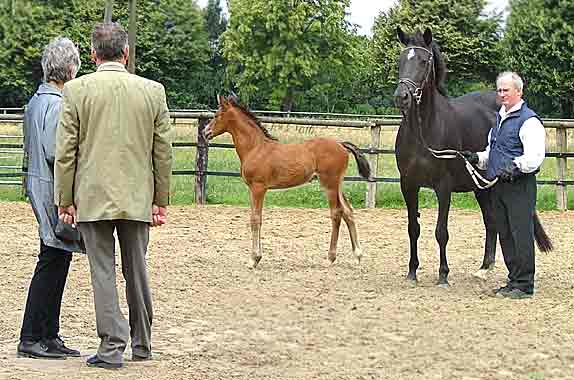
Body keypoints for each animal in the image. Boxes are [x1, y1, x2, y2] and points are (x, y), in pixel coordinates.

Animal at [206, 94, 374, 268]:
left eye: (216, 115)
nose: (206, 132)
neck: (255, 148)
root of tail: (341, 144)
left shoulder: (258, 187)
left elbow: (255, 219)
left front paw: (254, 259)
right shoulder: (252, 188)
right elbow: (255, 217)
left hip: (330, 185)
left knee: (336, 214)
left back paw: (330, 257)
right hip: (338, 184)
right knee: (348, 211)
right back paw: (358, 254)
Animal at [394, 26, 552, 286]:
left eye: (424, 61)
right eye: (401, 60)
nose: (401, 97)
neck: (422, 132)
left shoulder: (443, 186)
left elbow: (441, 232)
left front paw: (443, 275)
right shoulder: (408, 185)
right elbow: (412, 228)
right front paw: (412, 272)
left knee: (498, 224)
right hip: (481, 188)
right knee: (492, 221)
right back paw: (484, 268)